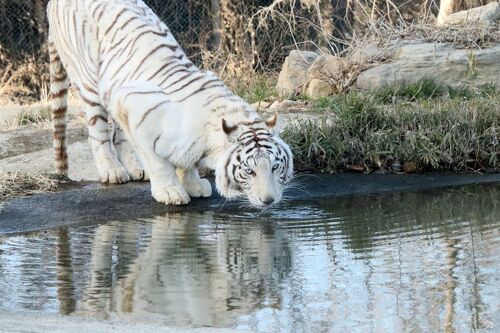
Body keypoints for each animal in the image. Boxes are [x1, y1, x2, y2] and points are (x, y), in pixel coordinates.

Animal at [47, 0, 292, 205]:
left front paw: (192, 184)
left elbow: (186, 161)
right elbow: (157, 161)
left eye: (275, 167)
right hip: (89, 82)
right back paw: (112, 171)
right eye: (249, 171)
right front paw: (170, 191)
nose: (269, 200)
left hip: (115, 90)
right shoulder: (136, 111)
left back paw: (136, 169)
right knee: (98, 132)